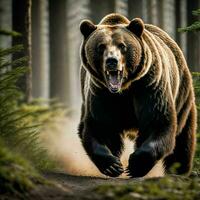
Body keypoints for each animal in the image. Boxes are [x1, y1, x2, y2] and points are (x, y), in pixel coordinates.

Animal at [77, 13, 196, 177]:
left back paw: (179, 170)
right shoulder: (100, 93)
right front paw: (112, 165)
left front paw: (135, 165)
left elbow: (157, 121)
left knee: (183, 137)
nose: (112, 61)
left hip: (182, 94)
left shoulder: (149, 86)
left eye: (122, 46)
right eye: (101, 46)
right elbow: (100, 126)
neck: (124, 89)